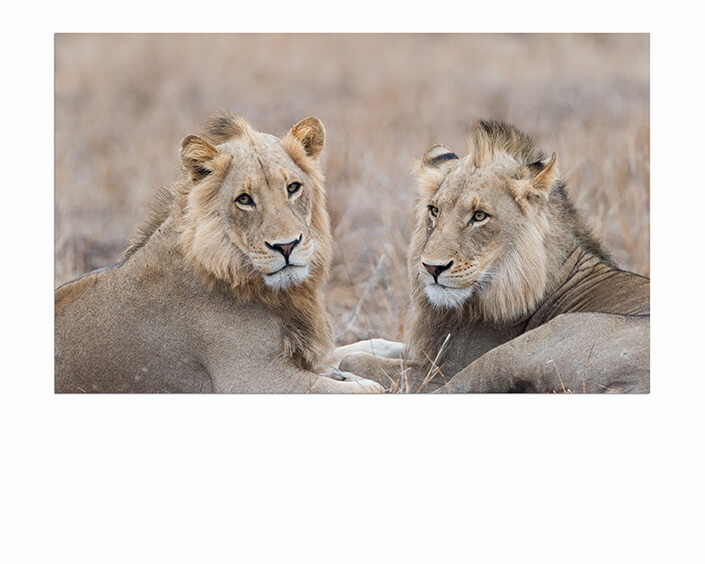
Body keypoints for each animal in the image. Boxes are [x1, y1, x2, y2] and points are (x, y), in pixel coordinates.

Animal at [55, 113, 382, 393]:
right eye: (244, 200)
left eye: (293, 187)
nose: (287, 246)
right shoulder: (255, 380)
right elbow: (367, 388)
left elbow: (365, 345)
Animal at [339, 120, 649, 393]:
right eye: (434, 210)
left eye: (479, 216)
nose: (431, 268)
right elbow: (374, 343)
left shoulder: (444, 366)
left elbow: (358, 359)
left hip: (516, 350)